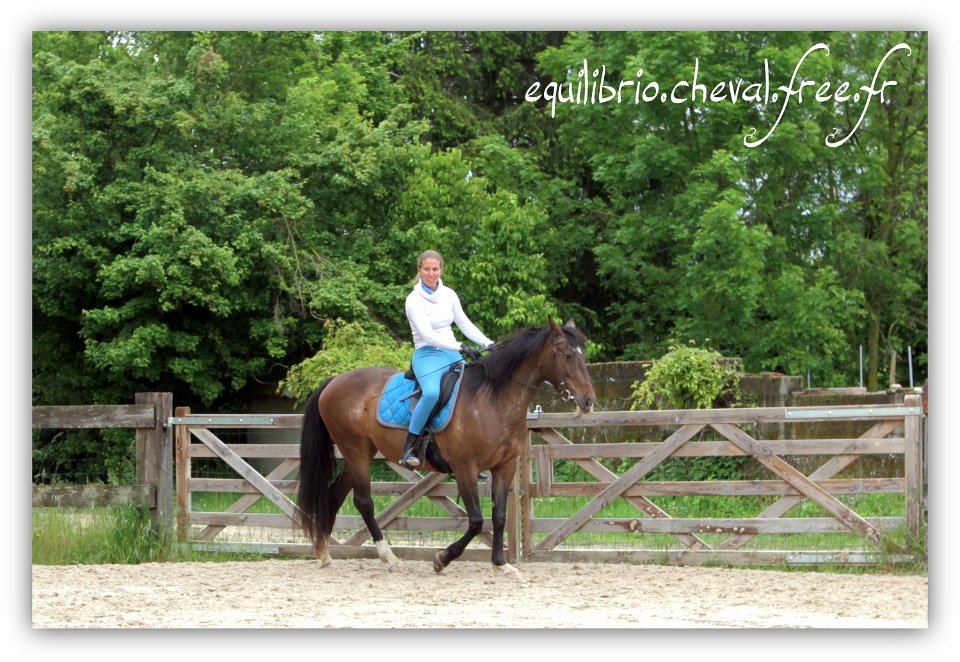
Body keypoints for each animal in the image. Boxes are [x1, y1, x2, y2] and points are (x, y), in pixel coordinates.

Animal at [294, 320, 592, 580]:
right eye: (567, 356)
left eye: (583, 355)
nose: (589, 401)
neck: (492, 400)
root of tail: (334, 381)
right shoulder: (464, 468)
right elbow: (476, 520)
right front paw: (442, 559)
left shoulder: (504, 466)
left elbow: (498, 517)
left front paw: (501, 564)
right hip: (354, 451)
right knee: (363, 502)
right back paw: (389, 557)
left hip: (360, 453)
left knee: (335, 495)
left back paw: (324, 553)